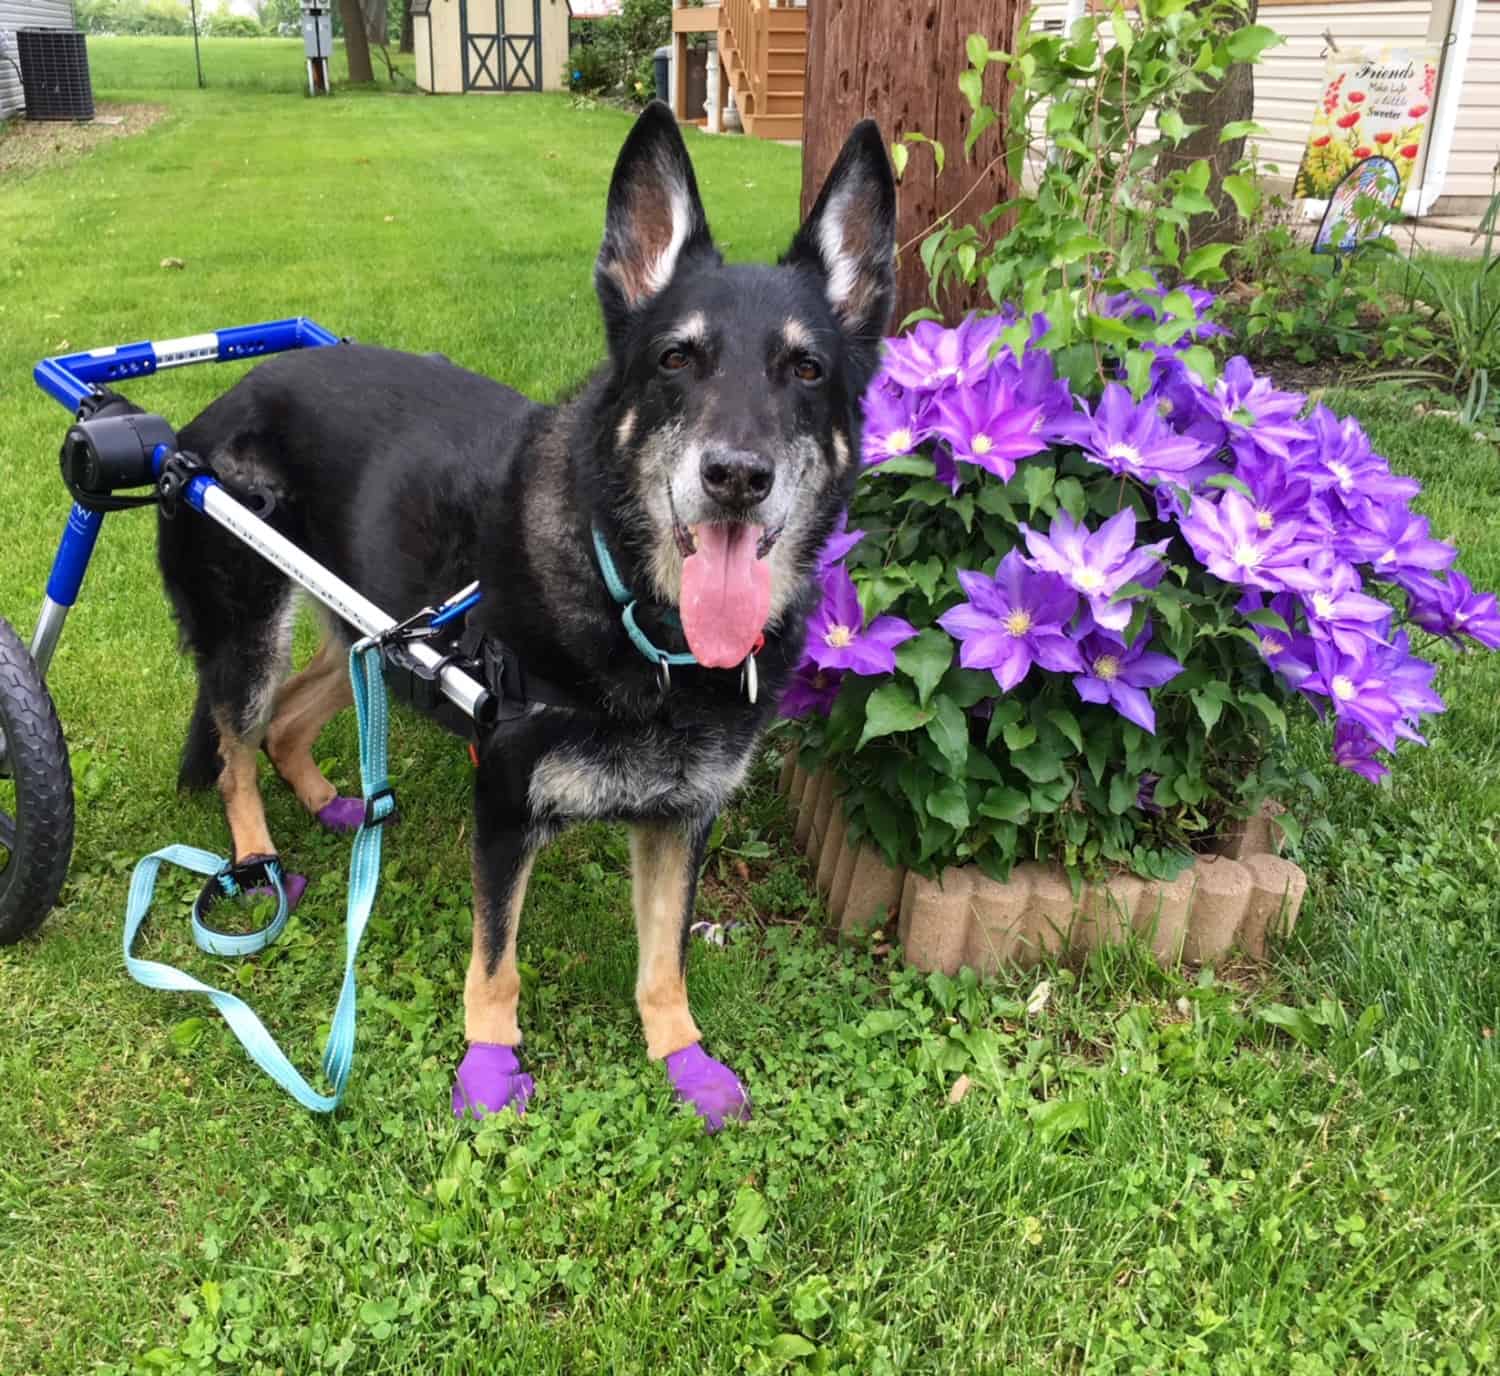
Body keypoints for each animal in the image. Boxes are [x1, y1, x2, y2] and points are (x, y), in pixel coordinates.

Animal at [158, 107, 894, 1128]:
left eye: (808, 368)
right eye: (676, 359)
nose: (737, 477)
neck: (643, 624)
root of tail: (199, 419)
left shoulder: (680, 821)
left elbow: (664, 963)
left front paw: (684, 1058)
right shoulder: (503, 803)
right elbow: (494, 963)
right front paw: (490, 1064)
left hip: (377, 637)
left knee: (292, 719)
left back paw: (334, 804)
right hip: (250, 633)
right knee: (236, 751)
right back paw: (259, 857)